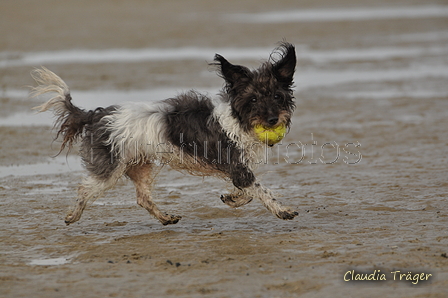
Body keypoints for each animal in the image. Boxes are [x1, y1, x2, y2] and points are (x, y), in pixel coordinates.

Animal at [30, 42, 298, 226]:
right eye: (253, 99)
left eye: (277, 96)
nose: (273, 120)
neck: (237, 119)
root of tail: (95, 115)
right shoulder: (238, 168)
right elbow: (261, 190)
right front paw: (282, 210)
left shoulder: (239, 169)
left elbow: (247, 192)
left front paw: (233, 199)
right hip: (110, 168)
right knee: (85, 189)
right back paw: (73, 215)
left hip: (140, 166)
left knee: (142, 198)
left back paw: (165, 217)